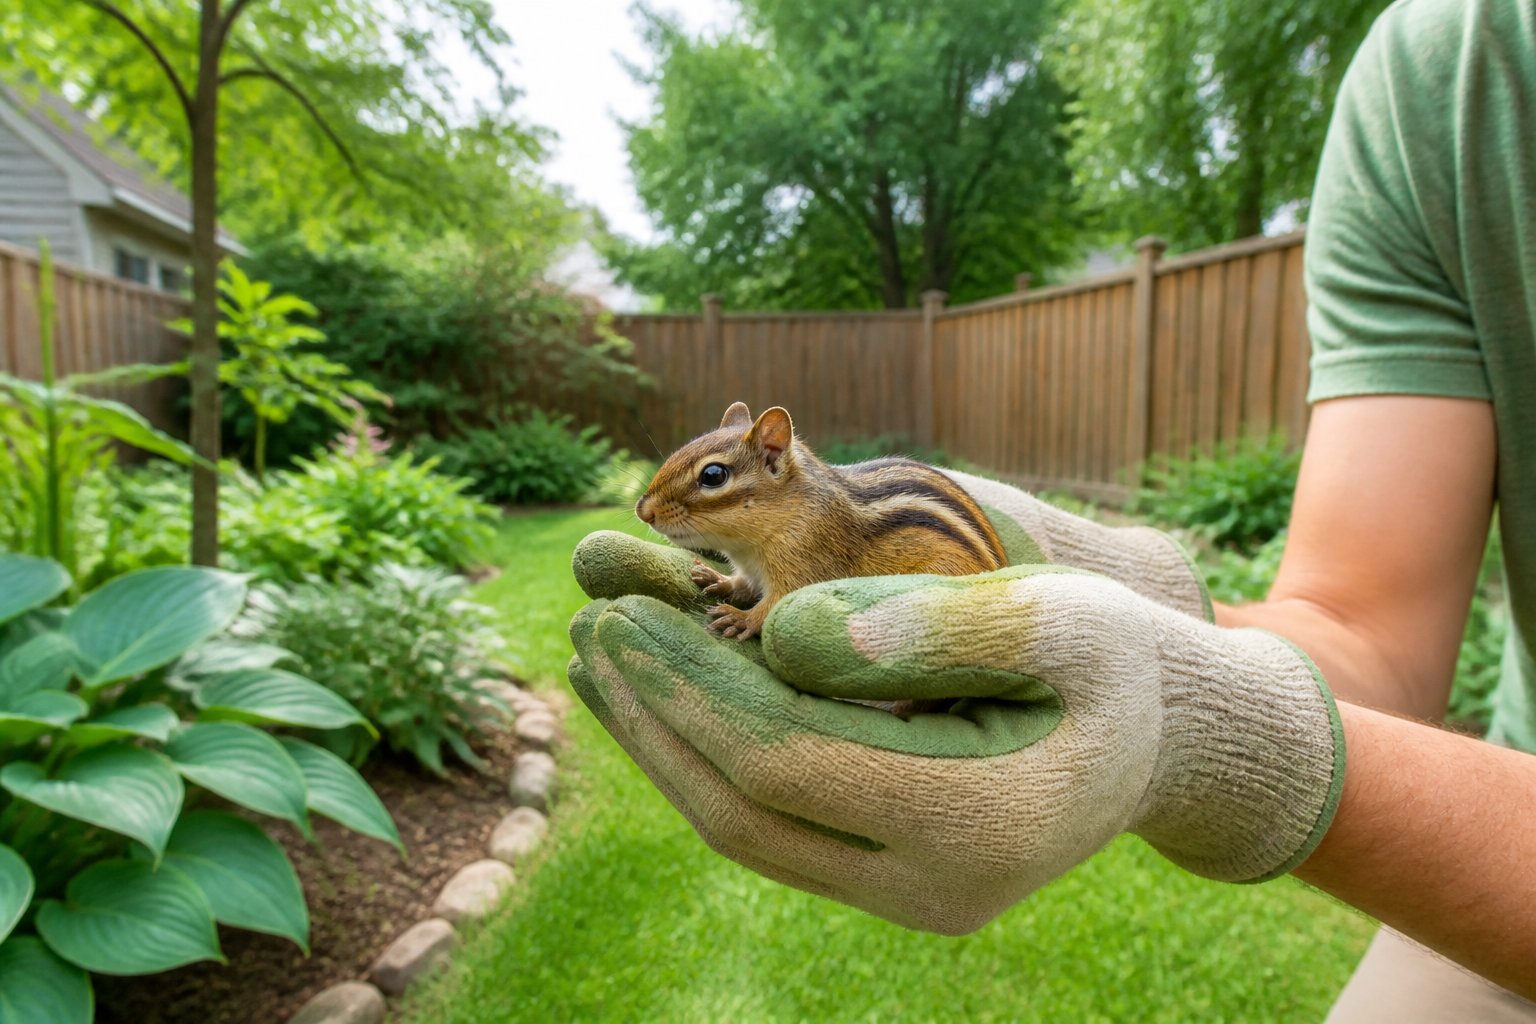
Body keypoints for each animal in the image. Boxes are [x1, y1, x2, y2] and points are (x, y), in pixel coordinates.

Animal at [636, 401, 1007, 642]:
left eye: (713, 475)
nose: (643, 511)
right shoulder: (751, 569)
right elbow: (742, 584)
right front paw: (716, 578)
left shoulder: (806, 562)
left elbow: (774, 604)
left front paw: (742, 618)